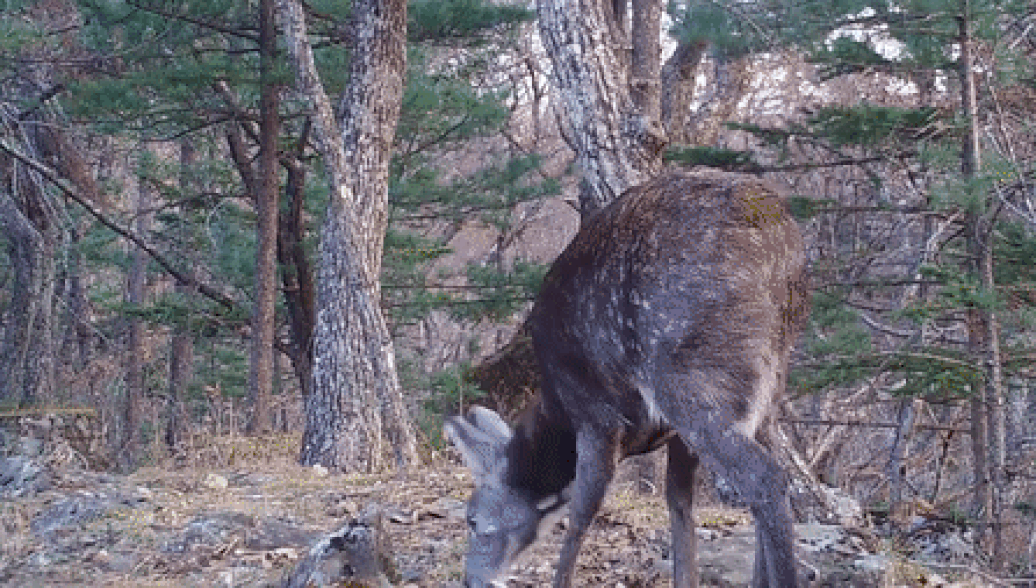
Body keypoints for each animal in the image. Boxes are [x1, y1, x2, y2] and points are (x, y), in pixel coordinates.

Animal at [444, 172, 809, 588]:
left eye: (473, 520)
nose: (470, 578)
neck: (557, 416)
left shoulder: (595, 415)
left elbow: (582, 513)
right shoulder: (672, 435)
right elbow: (679, 507)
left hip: (691, 380)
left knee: (765, 477)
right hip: (768, 385)